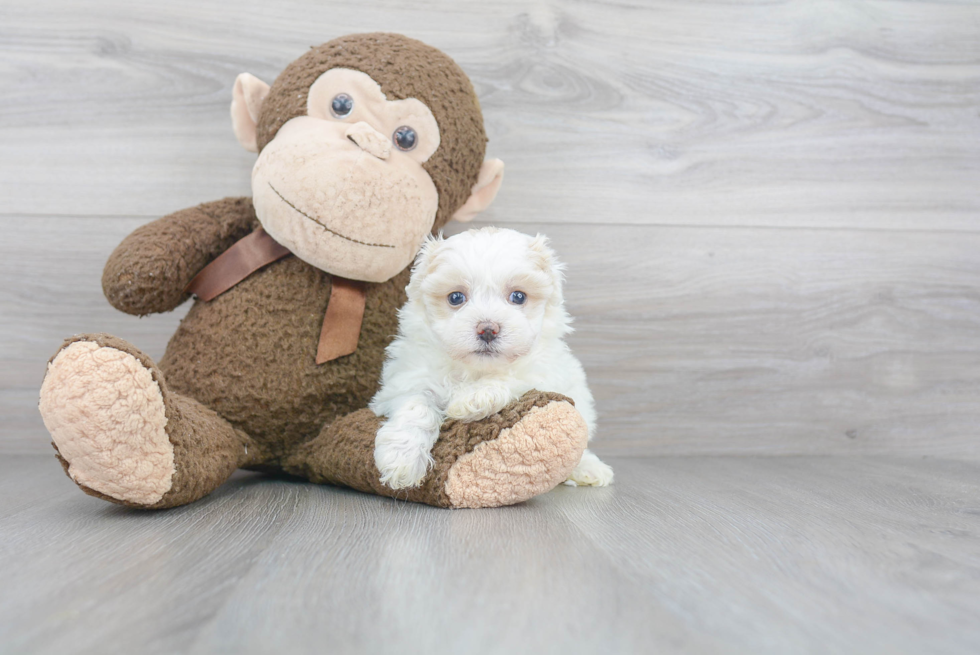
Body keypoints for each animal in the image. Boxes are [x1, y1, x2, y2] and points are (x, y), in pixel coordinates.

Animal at [370, 228, 612, 490]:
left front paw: (473, 398)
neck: (475, 370)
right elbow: (416, 405)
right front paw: (400, 460)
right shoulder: (407, 378)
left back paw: (589, 468)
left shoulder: (544, 372)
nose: (487, 329)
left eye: (518, 296)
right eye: (456, 297)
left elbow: (513, 378)